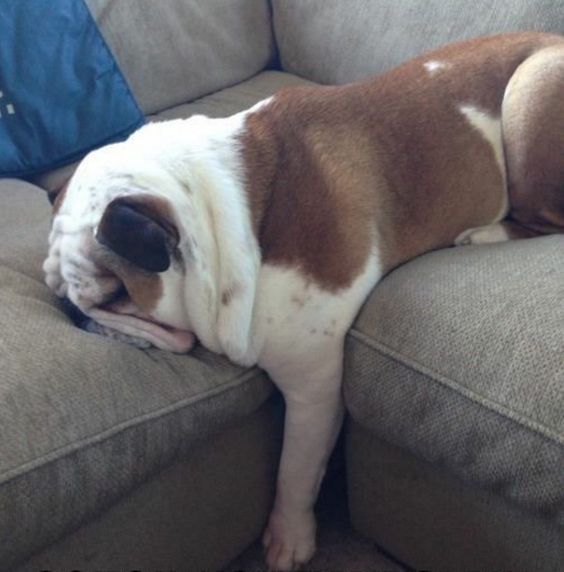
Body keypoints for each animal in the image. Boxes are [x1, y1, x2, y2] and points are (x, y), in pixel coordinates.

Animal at [43, 33, 564, 568]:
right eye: (60, 291)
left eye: (114, 295)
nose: (74, 313)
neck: (227, 213)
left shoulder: (312, 384)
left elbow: (295, 469)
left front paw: (288, 537)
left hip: (529, 94)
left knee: (548, 218)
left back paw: (484, 235)